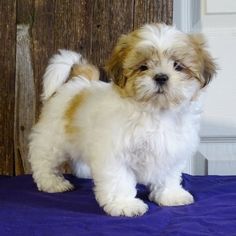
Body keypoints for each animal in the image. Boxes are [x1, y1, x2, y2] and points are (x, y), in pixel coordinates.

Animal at [28, 23, 217, 216]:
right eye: (143, 67)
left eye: (177, 66)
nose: (161, 77)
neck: (155, 112)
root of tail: (79, 82)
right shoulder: (115, 153)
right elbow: (119, 180)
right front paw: (124, 204)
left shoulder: (170, 149)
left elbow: (168, 175)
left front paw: (171, 195)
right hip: (53, 138)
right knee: (43, 159)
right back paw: (52, 182)